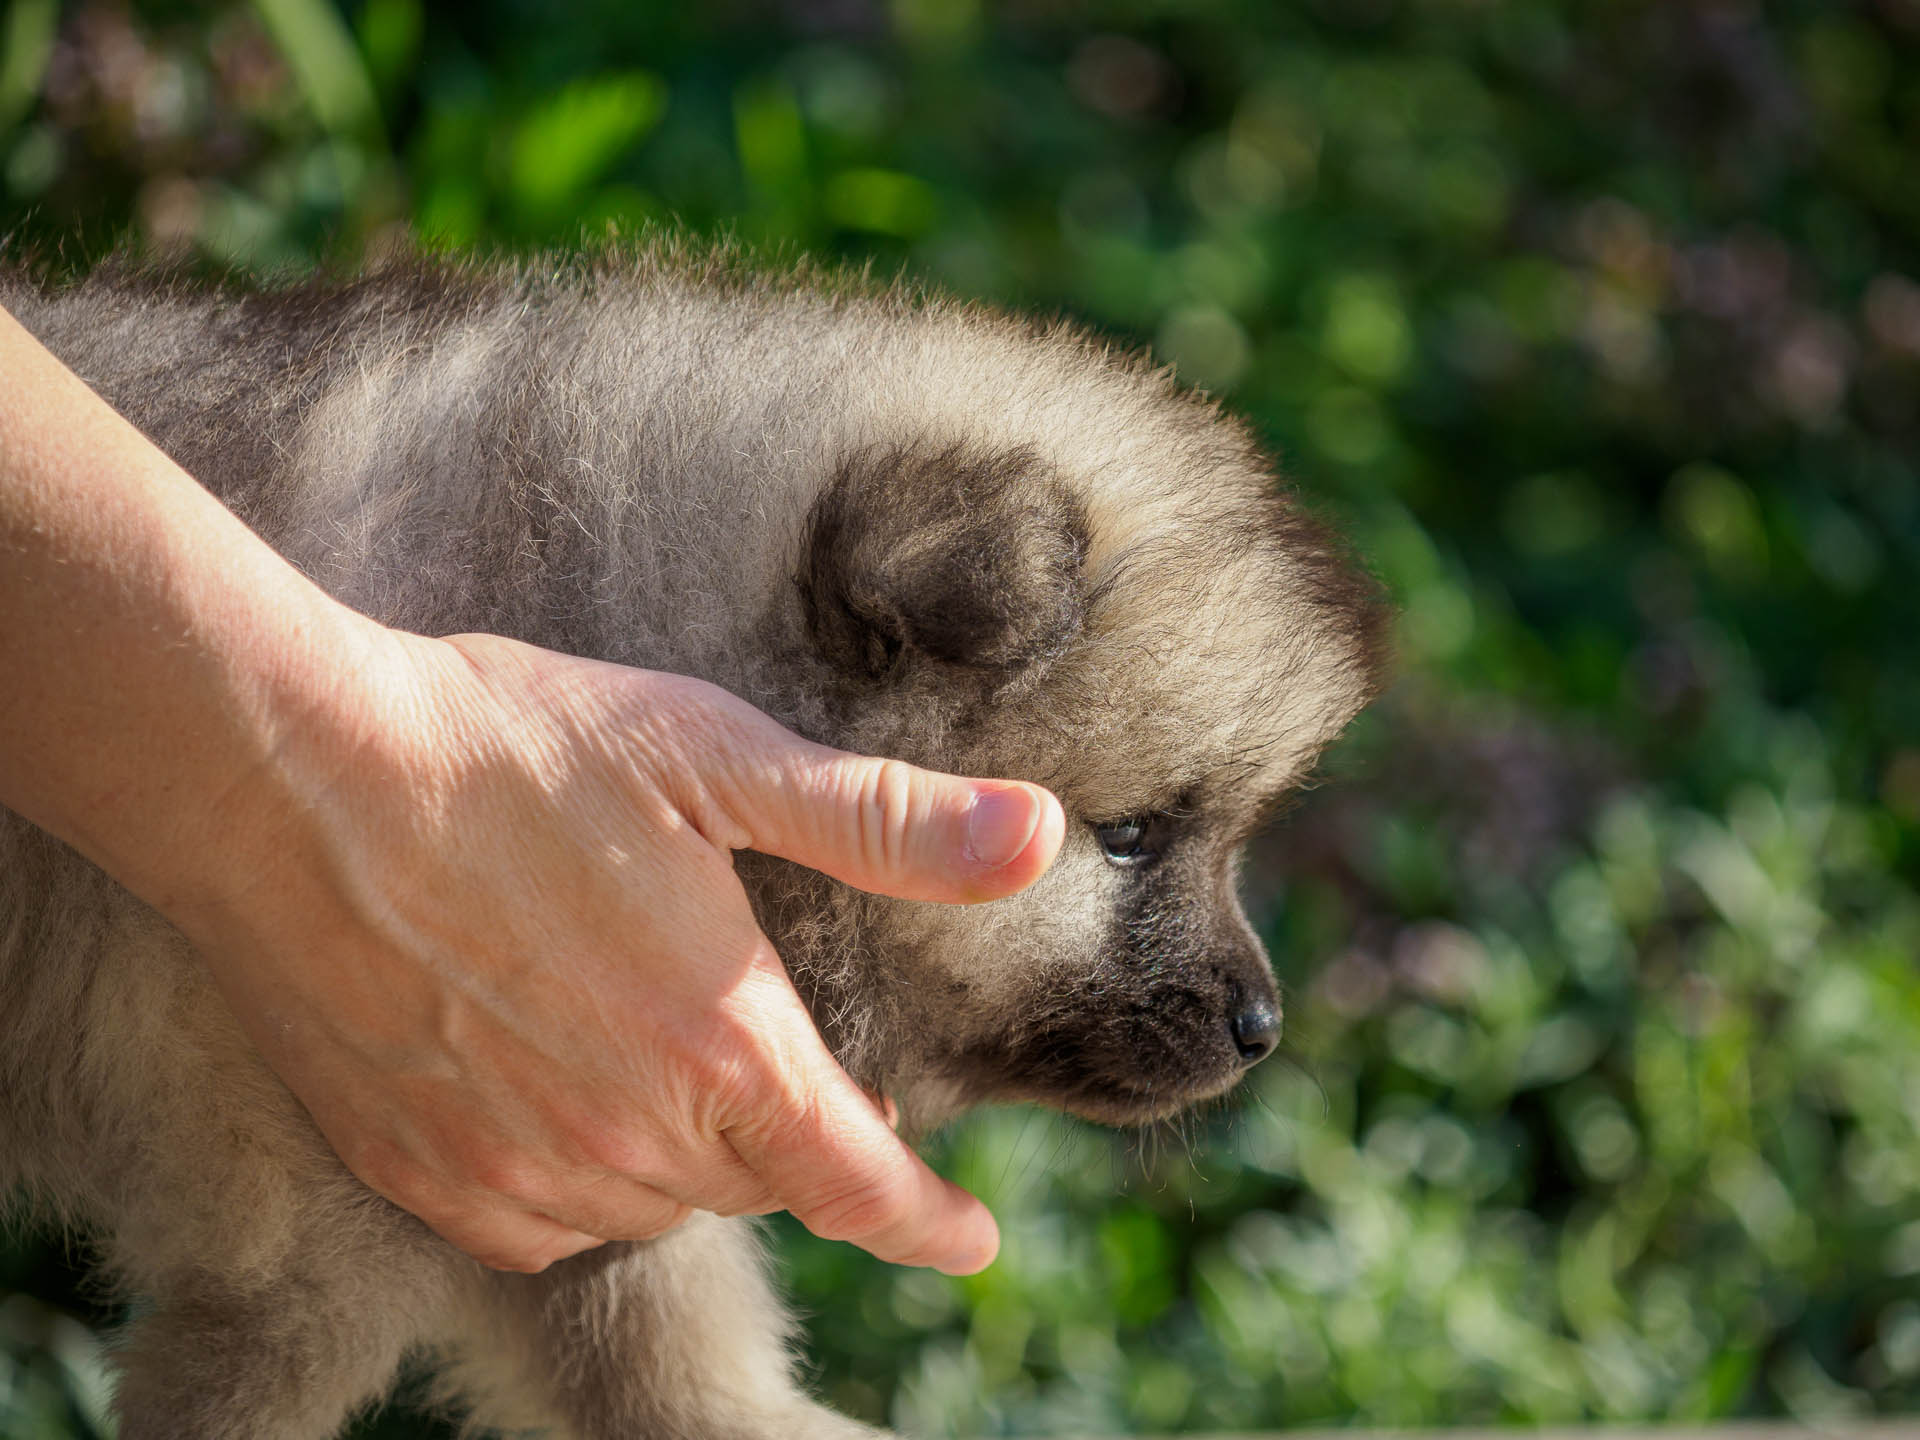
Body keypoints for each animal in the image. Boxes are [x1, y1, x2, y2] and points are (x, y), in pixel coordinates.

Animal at [0, 251, 1382, 1440]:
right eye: (1132, 836)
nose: (1263, 1027)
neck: (606, 621)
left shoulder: (590, 1208)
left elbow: (690, 1387)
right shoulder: (294, 1272)